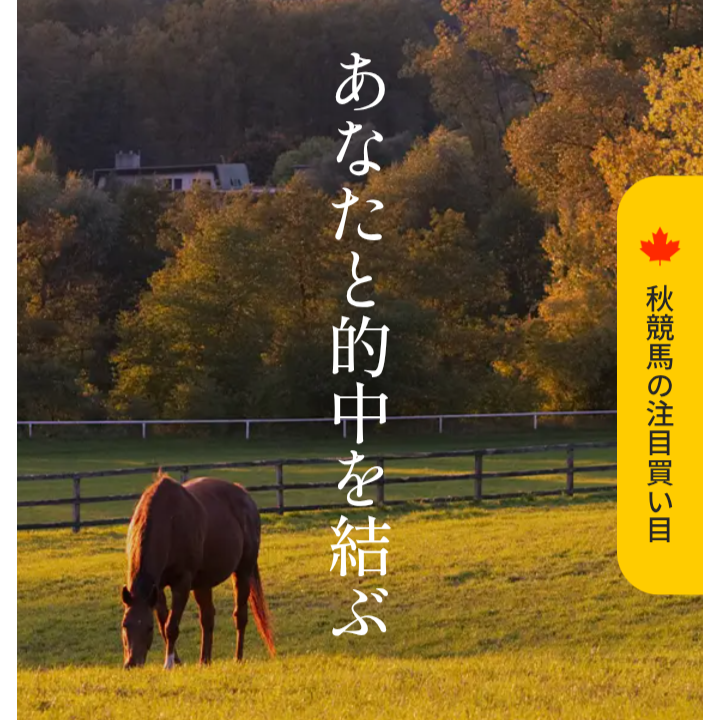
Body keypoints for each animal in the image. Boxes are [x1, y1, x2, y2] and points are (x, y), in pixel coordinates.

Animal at [121, 472, 275, 668]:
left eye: (148, 628)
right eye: (125, 625)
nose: (132, 663)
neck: (169, 522)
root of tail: (245, 496)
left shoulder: (182, 584)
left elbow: (171, 626)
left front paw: (169, 665)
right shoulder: (158, 588)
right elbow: (164, 623)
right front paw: (177, 661)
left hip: (243, 572)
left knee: (240, 616)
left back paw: (237, 658)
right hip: (203, 583)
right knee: (207, 617)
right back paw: (204, 661)